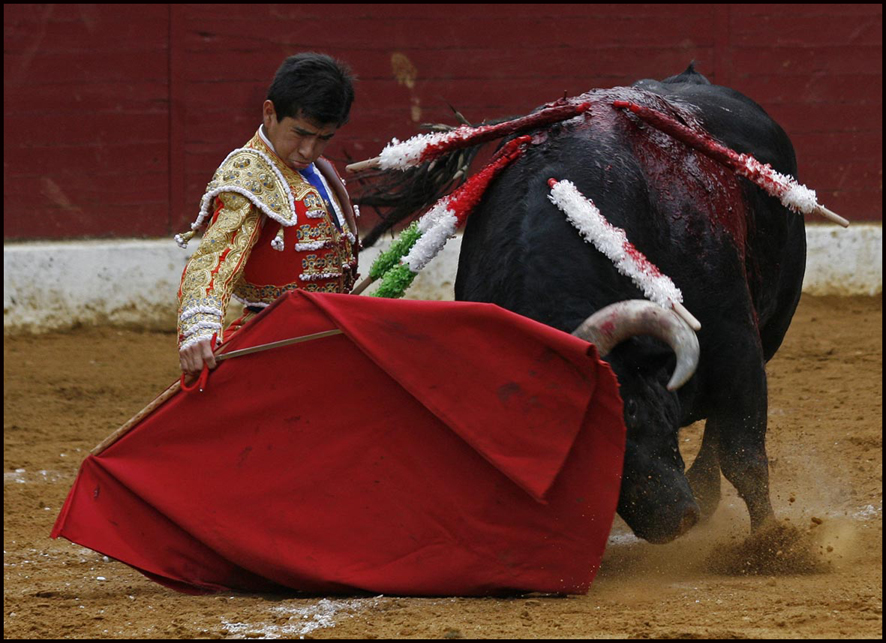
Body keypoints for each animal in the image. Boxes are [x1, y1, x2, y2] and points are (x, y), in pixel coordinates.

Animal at [361, 65, 807, 544]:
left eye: (628, 409)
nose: (672, 521)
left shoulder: (736, 345)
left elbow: (743, 456)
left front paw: (772, 546)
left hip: (775, 322)